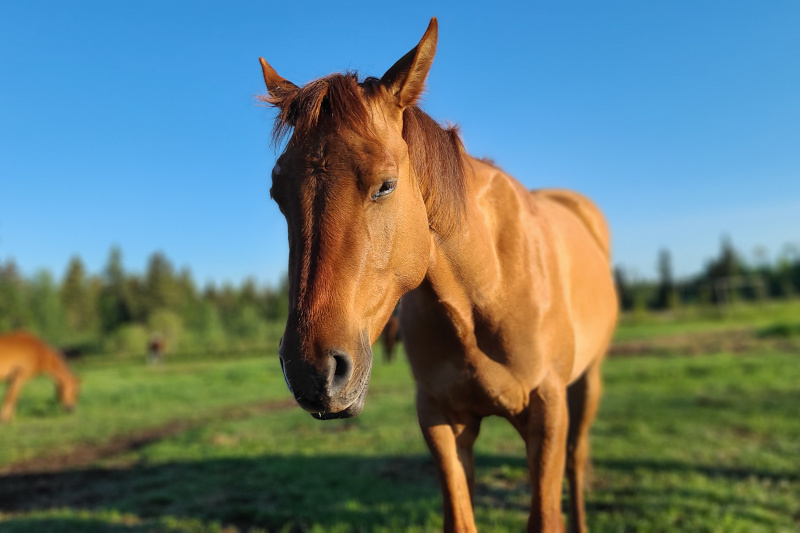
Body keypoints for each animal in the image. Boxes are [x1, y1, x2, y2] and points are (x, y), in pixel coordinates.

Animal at [262, 17, 620, 532]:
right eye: (277, 193)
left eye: (386, 185)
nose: (313, 372)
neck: (485, 289)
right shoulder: (439, 418)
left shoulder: (548, 412)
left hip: (585, 384)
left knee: (576, 458)